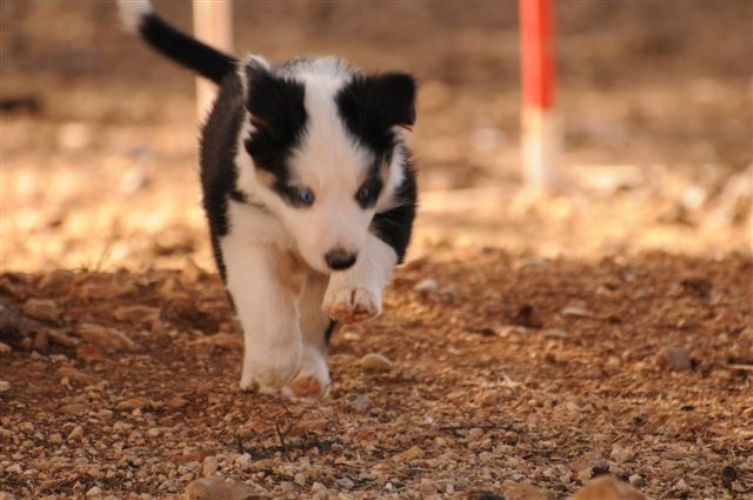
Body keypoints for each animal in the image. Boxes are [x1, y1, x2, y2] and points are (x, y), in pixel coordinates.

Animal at [117, 0, 418, 398]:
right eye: (302, 195)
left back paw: (308, 372)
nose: (340, 260)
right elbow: (265, 298)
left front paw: (352, 292)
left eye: (365, 192)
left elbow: (371, 248)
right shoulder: (240, 227)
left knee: (311, 314)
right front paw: (271, 368)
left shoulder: (398, 199)